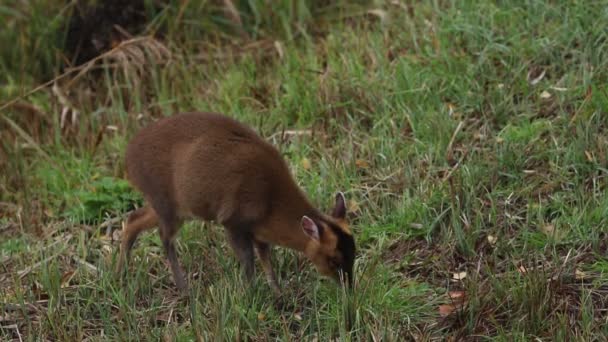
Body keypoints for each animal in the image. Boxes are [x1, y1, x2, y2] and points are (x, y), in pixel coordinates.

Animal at [116, 111, 356, 292]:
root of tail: (127, 159)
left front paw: (278, 294)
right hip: (166, 202)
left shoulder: (259, 231)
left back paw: (121, 273)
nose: (349, 289)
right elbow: (249, 264)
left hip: (167, 205)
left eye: (354, 253)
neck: (271, 202)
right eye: (334, 260)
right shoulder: (233, 221)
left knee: (133, 219)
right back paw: (184, 289)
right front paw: (250, 297)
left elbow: (266, 259)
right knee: (165, 238)